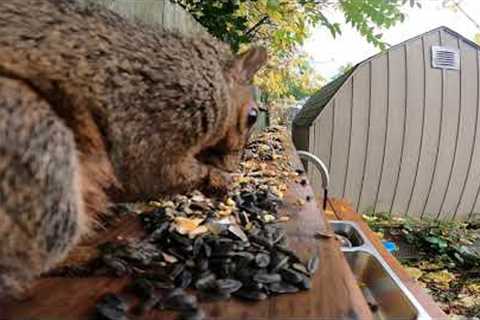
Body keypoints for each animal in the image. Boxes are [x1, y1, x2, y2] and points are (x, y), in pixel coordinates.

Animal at [0, 0, 268, 298]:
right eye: (252, 116)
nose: (232, 167)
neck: (211, 79)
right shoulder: (157, 117)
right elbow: (157, 172)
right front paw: (219, 179)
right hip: (39, 145)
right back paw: (95, 255)